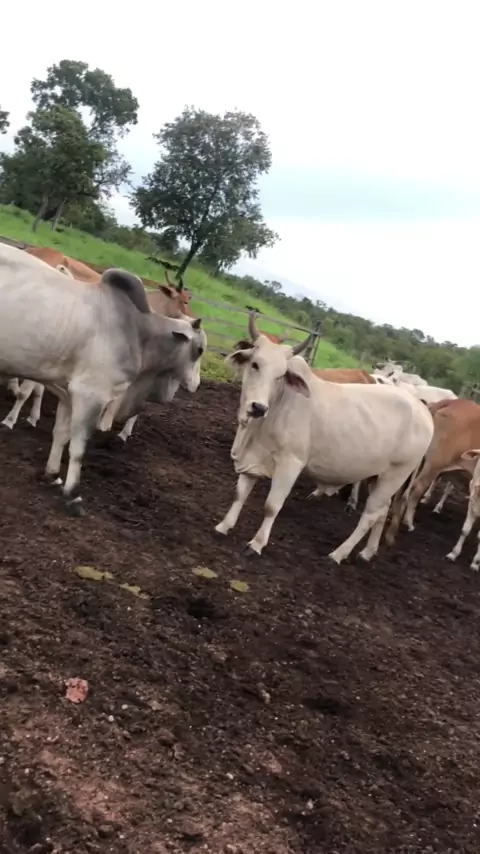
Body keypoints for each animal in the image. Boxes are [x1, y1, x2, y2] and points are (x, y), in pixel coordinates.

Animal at [0, 243, 205, 515]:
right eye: (199, 349)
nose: (196, 385)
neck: (140, 332)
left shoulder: (68, 393)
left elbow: (61, 434)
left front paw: (52, 474)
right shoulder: (91, 394)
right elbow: (79, 446)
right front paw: (72, 493)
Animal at [214, 312, 434, 564]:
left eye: (281, 375)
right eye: (255, 364)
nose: (258, 407)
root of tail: (423, 409)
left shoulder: (291, 463)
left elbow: (272, 506)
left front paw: (257, 544)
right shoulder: (253, 458)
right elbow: (239, 494)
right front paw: (224, 525)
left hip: (395, 474)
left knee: (370, 514)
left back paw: (338, 553)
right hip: (379, 476)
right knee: (383, 510)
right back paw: (368, 552)